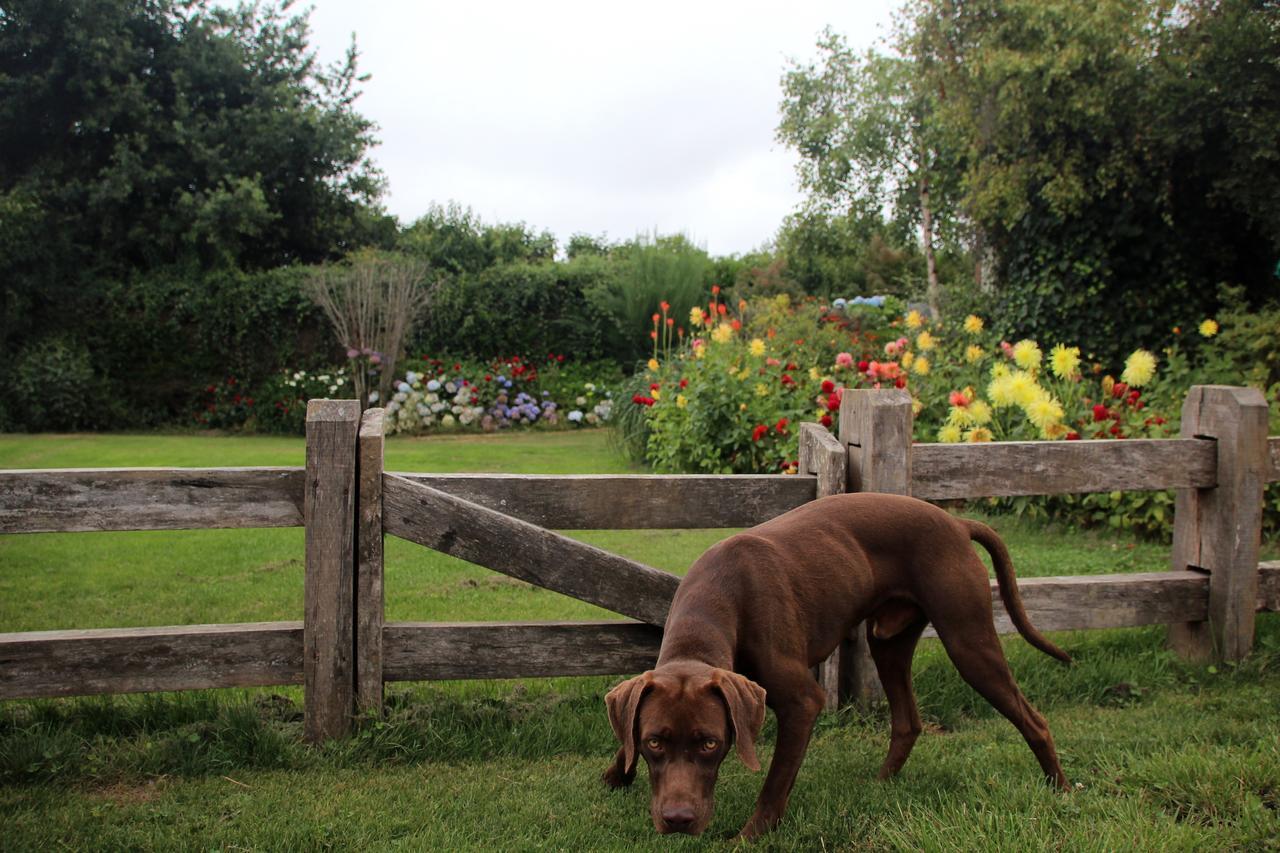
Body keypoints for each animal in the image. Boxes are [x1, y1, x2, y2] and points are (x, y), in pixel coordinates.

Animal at [604, 489, 1064, 835]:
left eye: (709, 743)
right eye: (654, 742)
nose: (677, 821)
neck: (717, 600)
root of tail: (957, 523)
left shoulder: (802, 702)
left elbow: (775, 782)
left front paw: (749, 836)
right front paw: (617, 774)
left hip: (968, 641)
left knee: (1034, 721)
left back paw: (1059, 788)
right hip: (889, 642)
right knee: (907, 721)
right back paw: (881, 783)